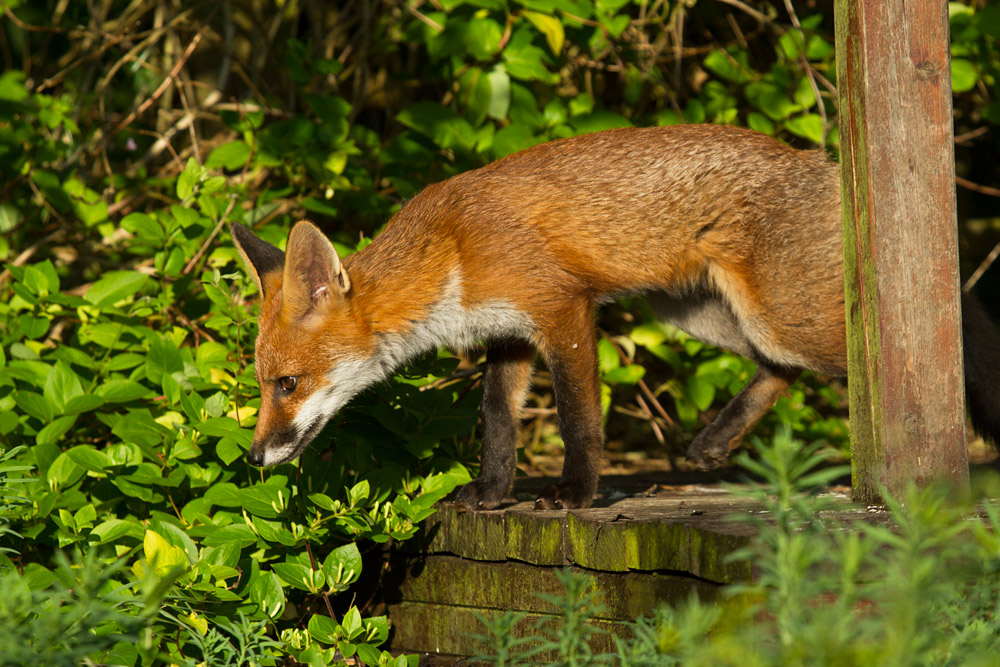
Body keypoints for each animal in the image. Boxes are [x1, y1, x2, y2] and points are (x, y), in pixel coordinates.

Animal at [231, 123, 1000, 511]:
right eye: (265, 385)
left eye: (287, 385)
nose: (254, 457)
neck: (450, 250)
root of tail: (821, 159)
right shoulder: (507, 335)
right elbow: (498, 423)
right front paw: (490, 494)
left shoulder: (563, 310)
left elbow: (579, 419)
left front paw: (575, 494)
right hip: (700, 313)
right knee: (779, 371)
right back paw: (714, 442)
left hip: (784, 315)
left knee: (910, 355)